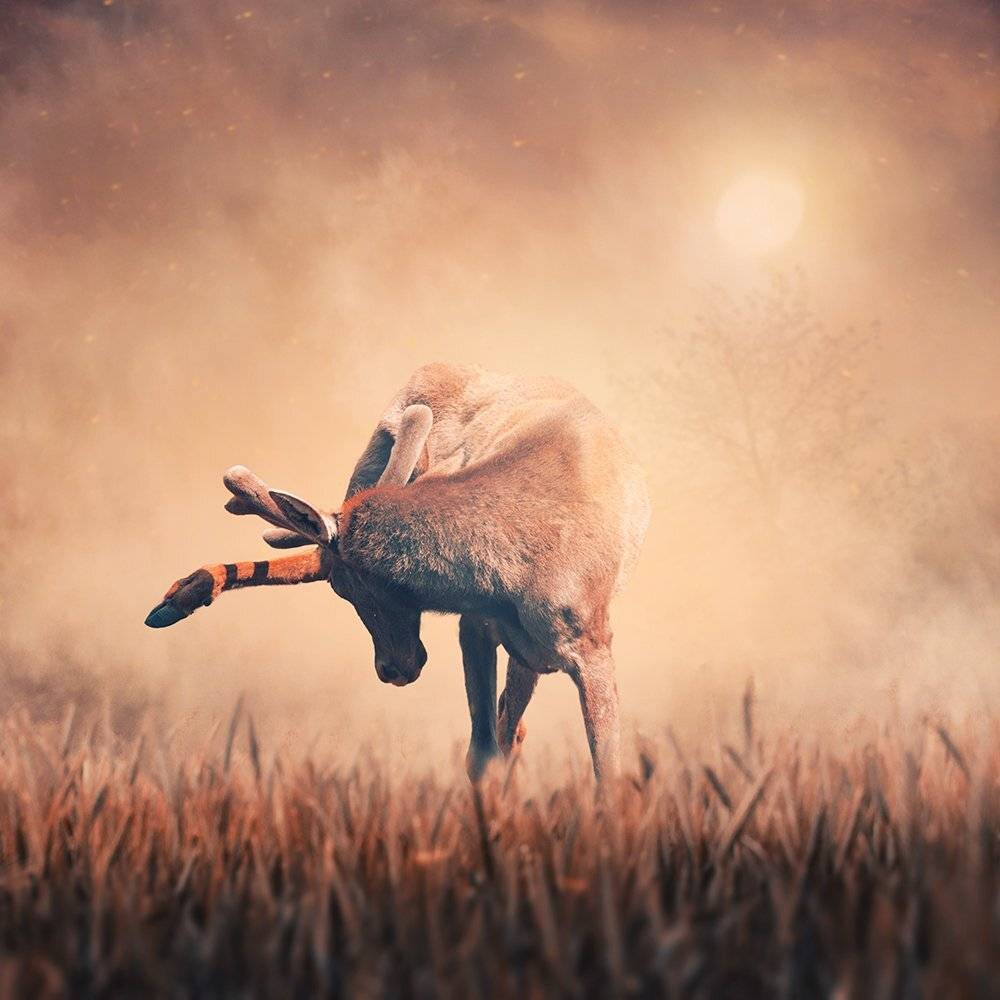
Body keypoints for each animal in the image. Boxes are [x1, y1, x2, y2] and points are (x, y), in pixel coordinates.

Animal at [145, 363, 649, 780]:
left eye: (347, 589)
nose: (393, 670)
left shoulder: (592, 643)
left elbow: (604, 771)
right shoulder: (476, 626)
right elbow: (482, 754)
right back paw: (171, 602)